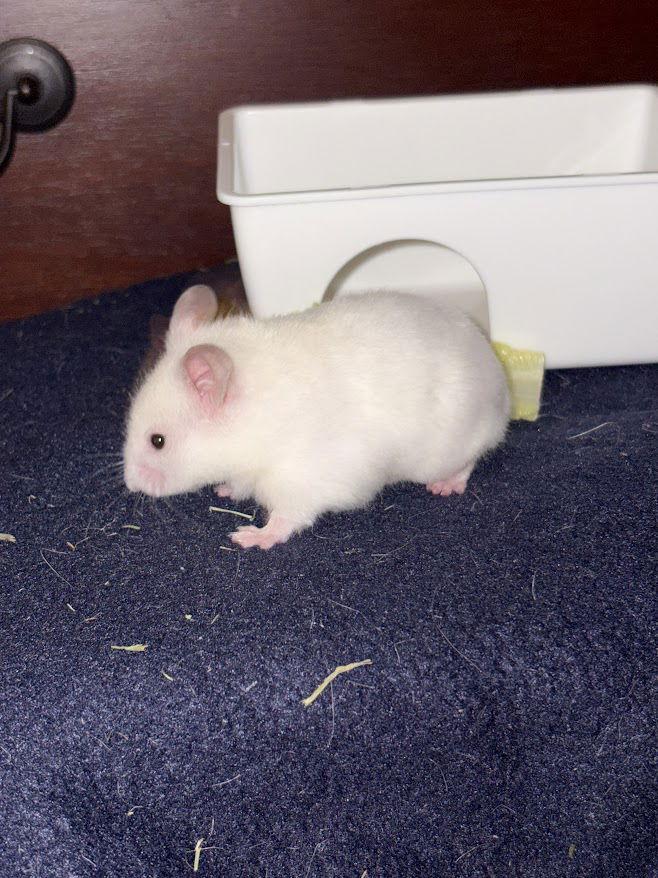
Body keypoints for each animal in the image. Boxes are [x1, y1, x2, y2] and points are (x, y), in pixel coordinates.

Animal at [123, 284, 510, 550]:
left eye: (158, 441)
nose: (130, 485)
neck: (250, 427)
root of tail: (501, 389)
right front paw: (224, 490)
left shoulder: (299, 480)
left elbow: (286, 518)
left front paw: (248, 537)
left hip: (447, 450)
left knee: (469, 461)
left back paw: (445, 486)